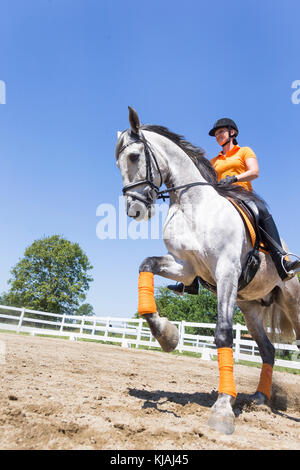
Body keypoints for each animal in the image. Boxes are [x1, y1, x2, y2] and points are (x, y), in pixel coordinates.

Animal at [115, 107, 300, 436]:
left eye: (135, 156)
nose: (134, 210)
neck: (191, 206)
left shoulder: (226, 270)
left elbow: (223, 334)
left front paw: (223, 408)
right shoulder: (185, 268)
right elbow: (145, 267)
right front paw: (166, 336)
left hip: (292, 301)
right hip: (249, 307)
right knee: (267, 350)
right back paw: (260, 399)